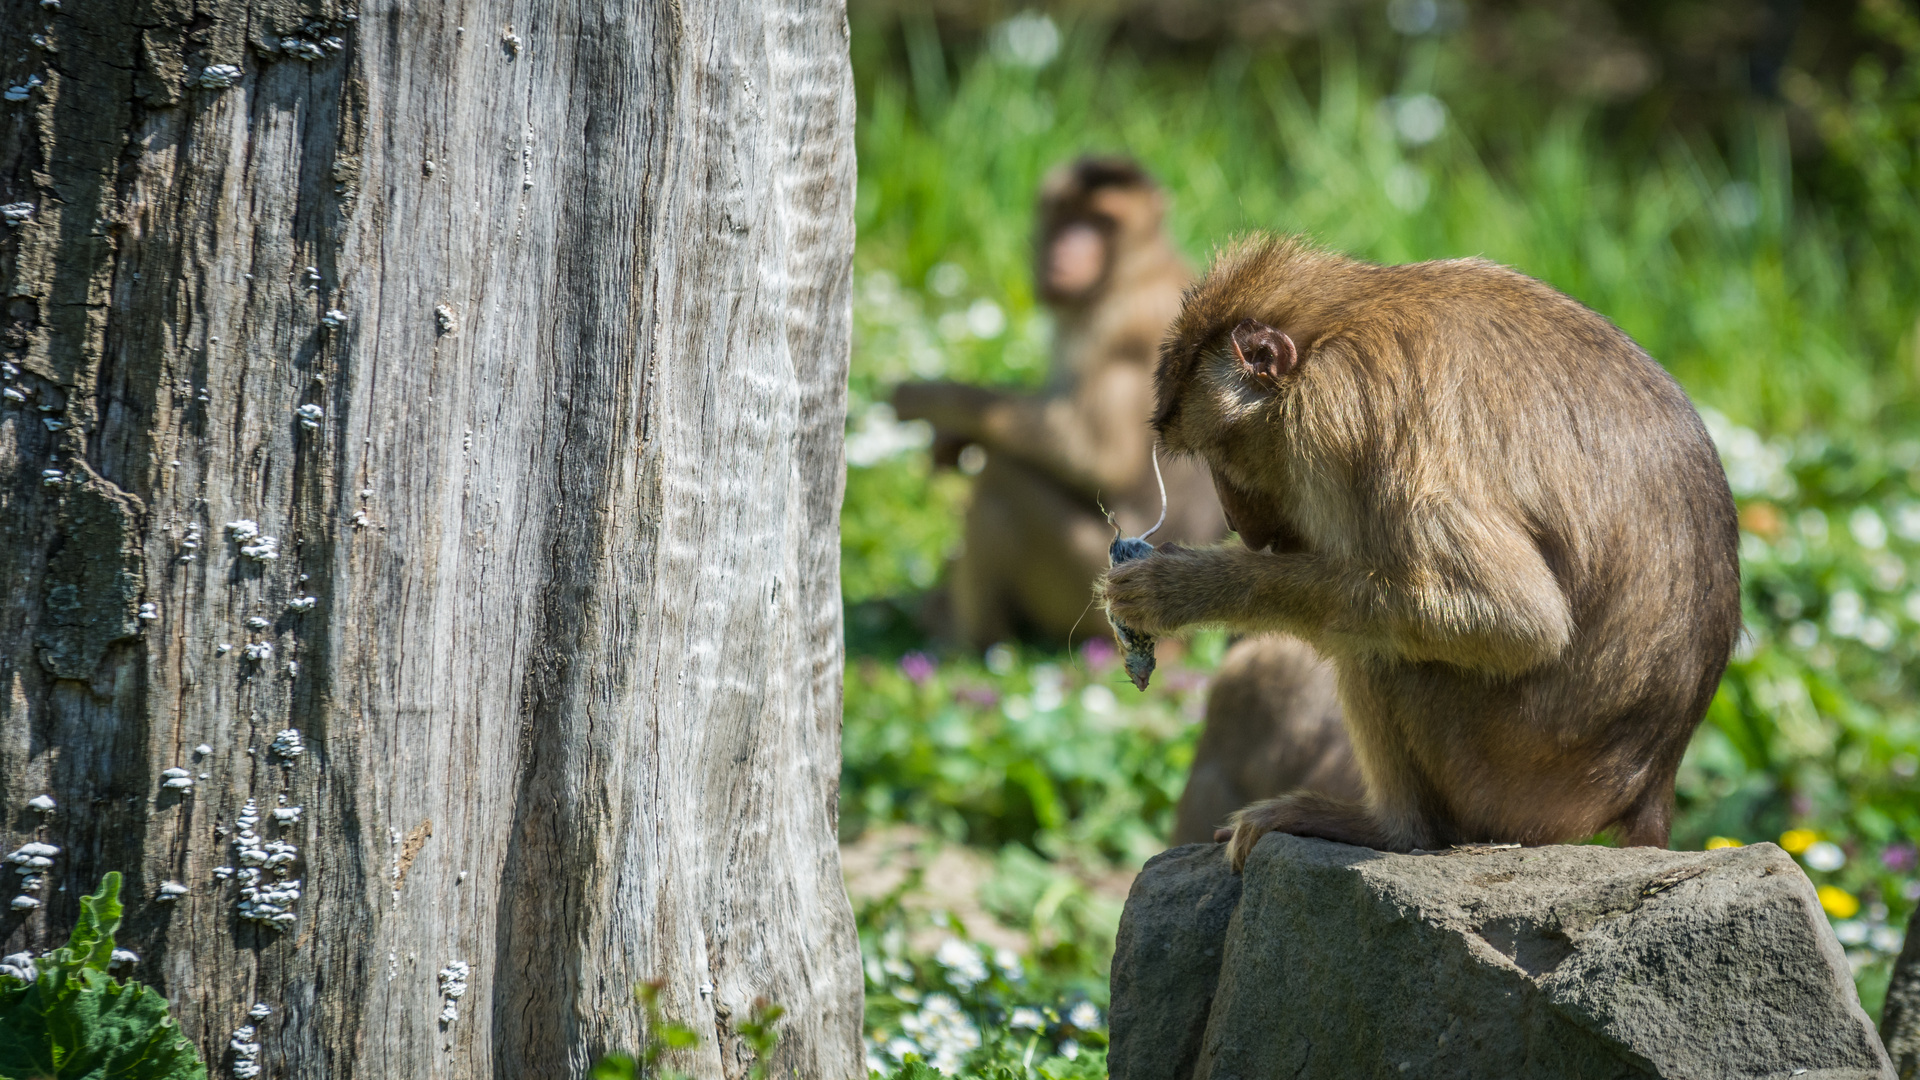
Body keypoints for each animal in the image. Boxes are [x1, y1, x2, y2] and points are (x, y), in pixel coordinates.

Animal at [887, 157, 1221, 645]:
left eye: (1102, 222)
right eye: (1065, 214)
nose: (1067, 250)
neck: (1136, 268)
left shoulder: (1119, 324)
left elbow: (1102, 458)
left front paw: (932, 399)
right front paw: (950, 438)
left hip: (1090, 587)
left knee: (1005, 475)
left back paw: (967, 638)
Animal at [1098, 233, 1743, 864]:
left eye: (1220, 453)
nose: (1234, 521)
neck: (1333, 324)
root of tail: (1651, 782)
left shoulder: (1340, 411)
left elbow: (1516, 622)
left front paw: (1186, 590)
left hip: (1511, 778)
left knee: (1381, 650)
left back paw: (1396, 831)